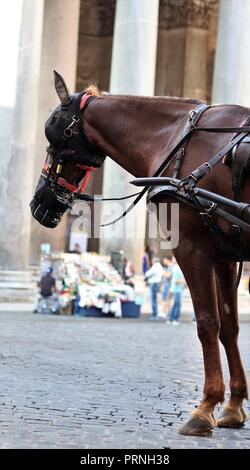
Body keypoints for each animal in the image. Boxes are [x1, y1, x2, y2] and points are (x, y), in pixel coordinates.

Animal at [30, 72, 248, 436]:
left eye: (53, 135)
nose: (38, 204)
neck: (180, 140)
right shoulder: (224, 256)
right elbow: (229, 327)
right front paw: (233, 406)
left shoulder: (191, 248)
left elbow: (207, 323)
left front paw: (206, 407)